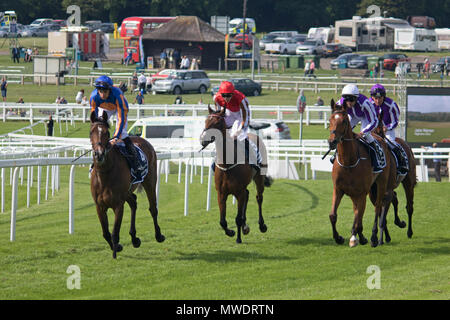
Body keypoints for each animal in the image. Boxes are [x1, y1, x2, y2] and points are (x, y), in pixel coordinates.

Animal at [89, 112, 164, 258]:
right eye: (91, 132)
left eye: (106, 133)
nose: (99, 154)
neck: (105, 173)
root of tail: (143, 140)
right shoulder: (99, 206)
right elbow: (105, 233)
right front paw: (117, 247)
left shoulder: (118, 205)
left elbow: (114, 233)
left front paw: (115, 251)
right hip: (127, 192)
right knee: (133, 202)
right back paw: (134, 238)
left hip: (150, 182)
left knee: (153, 208)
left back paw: (158, 235)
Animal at [201, 105, 274, 242]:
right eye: (206, 121)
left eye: (217, 122)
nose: (203, 140)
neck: (227, 164)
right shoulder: (221, 193)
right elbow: (222, 221)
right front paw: (231, 232)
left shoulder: (239, 192)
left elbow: (238, 218)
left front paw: (238, 238)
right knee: (248, 194)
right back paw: (245, 227)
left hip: (259, 178)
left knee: (259, 198)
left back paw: (261, 225)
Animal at [326, 100, 396, 248]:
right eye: (330, 120)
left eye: (344, 121)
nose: (332, 141)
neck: (348, 162)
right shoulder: (338, 190)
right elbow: (333, 215)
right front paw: (339, 238)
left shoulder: (362, 192)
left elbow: (359, 215)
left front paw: (356, 237)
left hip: (380, 183)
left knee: (377, 208)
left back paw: (374, 238)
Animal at [370, 111, 416, 239]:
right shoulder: (373, 193)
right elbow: (380, 213)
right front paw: (386, 237)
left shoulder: (385, 190)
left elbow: (382, 214)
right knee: (395, 198)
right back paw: (398, 224)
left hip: (408, 182)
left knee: (409, 207)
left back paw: (409, 231)